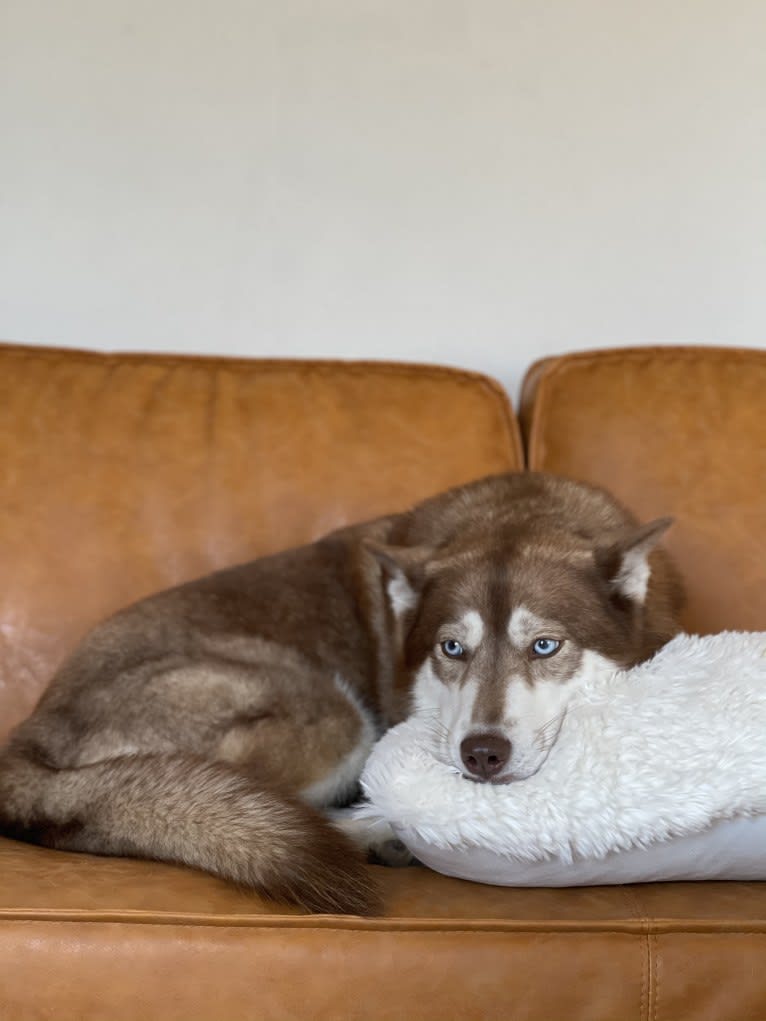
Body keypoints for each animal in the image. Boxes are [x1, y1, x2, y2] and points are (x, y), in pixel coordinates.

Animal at [0, 473, 682, 914]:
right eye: (451, 648)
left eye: (544, 646)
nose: (481, 754)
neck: (521, 510)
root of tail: (29, 733)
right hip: (331, 715)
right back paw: (376, 835)